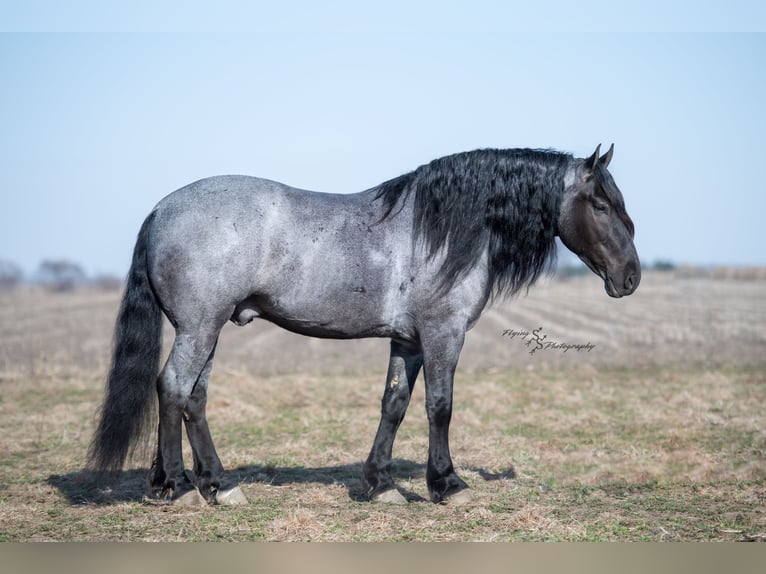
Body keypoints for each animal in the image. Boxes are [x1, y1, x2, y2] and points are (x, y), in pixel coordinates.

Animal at [88, 144, 640, 506]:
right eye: (601, 203)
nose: (630, 277)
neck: (440, 231)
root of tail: (162, 209)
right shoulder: (443, 335)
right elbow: (440, 407)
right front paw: (447, 484)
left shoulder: (408, 341)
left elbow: (394, 405)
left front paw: (380, 484)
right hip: (199, 327)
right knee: (173, 389)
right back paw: (179, 488)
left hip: (209, 329)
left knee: (194, 398)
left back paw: (217, 485)